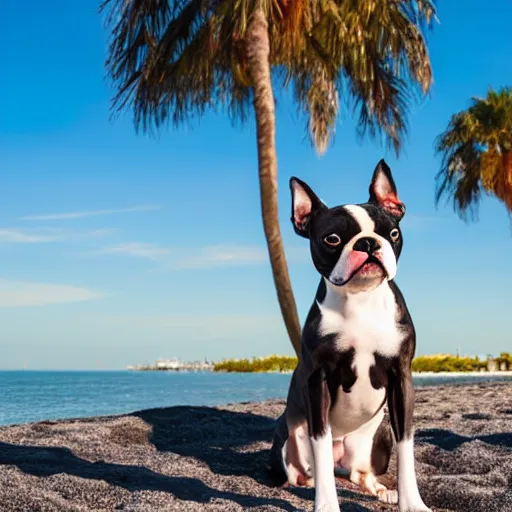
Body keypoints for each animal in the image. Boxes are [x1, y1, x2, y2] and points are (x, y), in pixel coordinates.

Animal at [270, 161, 430, 512]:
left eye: (393, 233)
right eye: (332, 239)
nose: (368, 243)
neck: (361, 299)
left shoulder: (401, 378)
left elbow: (407, 447)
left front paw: (412, 502)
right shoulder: (318, 380)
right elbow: (319, 446)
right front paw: (326, 505)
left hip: (375, 441)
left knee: (359, 474)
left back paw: (382, 490)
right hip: (286, 440)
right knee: (309, 471)